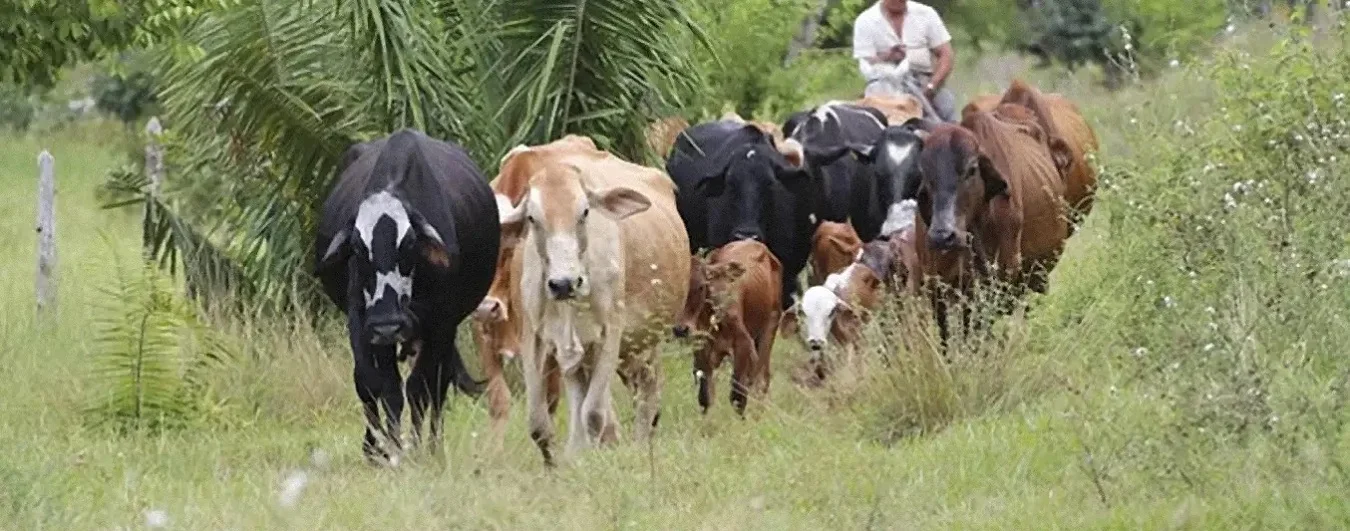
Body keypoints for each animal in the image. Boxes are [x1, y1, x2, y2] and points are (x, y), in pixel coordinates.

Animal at [311, 128, 502, 464]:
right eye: (358, 247)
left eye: (410, 242)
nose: (388, 324)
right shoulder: (362, 321)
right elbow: (380, 386)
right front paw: (386, 449)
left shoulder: (441, 324)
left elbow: (420, 388)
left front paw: (418, 450)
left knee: (437, 385)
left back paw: (434, 445)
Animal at [672, 239, 783, 413]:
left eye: (701, 286)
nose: (680, 329)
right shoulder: (701, 348)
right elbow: (705, 396)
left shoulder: (743, 345)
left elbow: (737, 396)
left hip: (771, 324)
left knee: (762, 378)